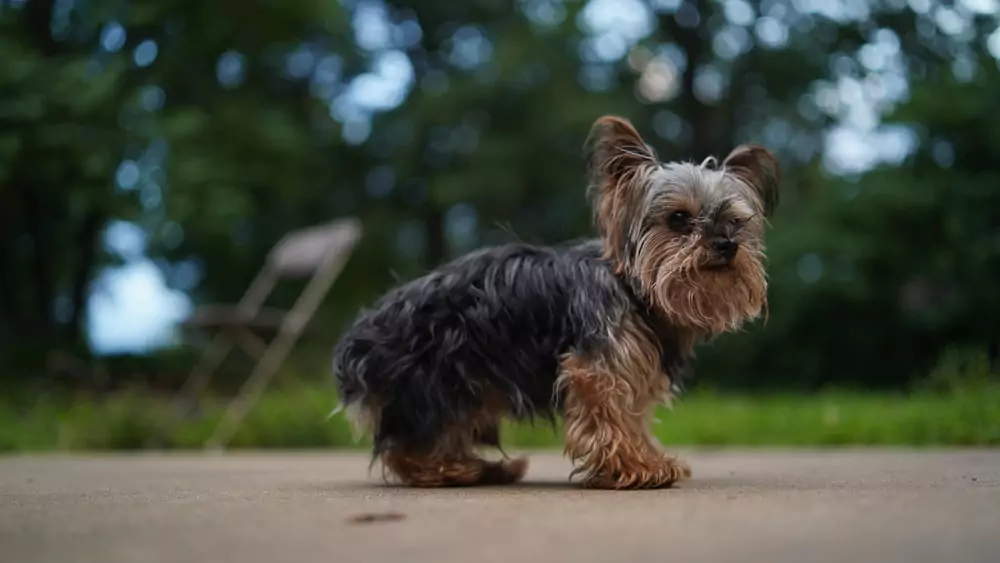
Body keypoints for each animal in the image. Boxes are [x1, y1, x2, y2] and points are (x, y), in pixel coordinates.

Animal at [332, 114, 776, 490]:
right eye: (679, 219)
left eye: (736, 222)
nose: (726, 245)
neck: (634, 288)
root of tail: (358, 336)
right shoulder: (596, 366)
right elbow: (611, 413)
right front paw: (635, 467)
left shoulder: (633, 363)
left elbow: (633, 414)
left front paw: (645, 458)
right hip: (435, 377)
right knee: (406, 446)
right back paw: (454, 470)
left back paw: (486, 467)